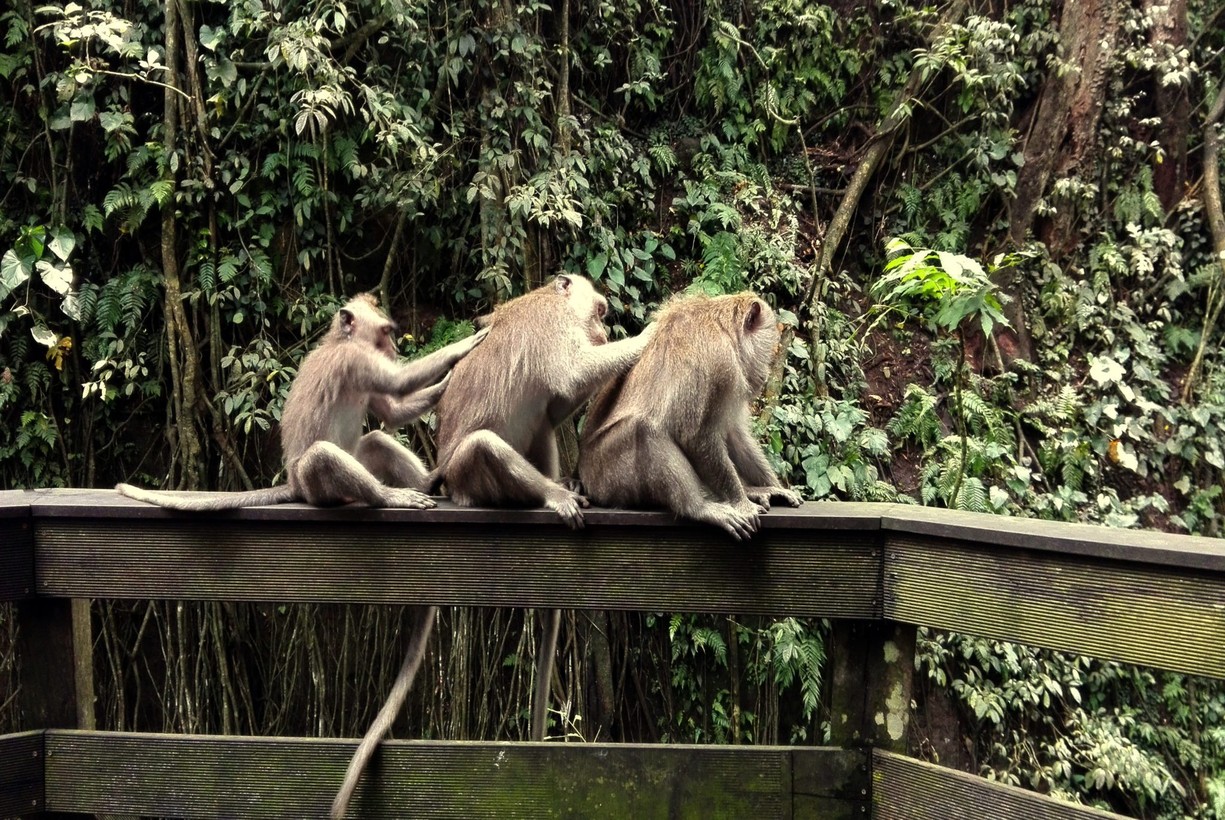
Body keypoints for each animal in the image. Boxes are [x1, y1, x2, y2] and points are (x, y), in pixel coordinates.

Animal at [117, 293, 485, 511]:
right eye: (385, 332)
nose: (393, 348)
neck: (341, 341)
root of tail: (294, 485)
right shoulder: (354, 360)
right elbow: (398, 383)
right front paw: (461, 348)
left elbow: (391, 414)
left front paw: (445, 384)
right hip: (314, 487)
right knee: (321, 457)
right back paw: (389, 496)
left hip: (356, 458)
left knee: (376, 441)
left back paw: (426, 482)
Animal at [577, 291, 803, 540]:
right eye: (769, 349)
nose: (764, 375)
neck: (726, 330)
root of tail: (585, 476)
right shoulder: (721, 362)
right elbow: (696, 437)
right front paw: (741, 502)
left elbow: (735, 435)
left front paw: (772, 488)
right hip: (609, 480)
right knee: (643, 430)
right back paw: (698, 507)